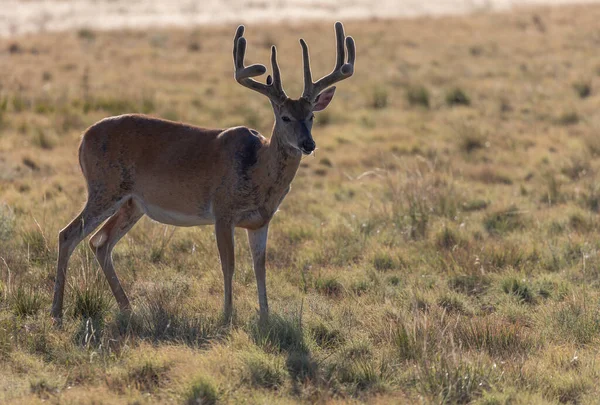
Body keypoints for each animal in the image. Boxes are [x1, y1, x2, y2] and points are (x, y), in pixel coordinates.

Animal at [50, 21, 356, 322]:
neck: (257, 170)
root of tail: (82, 139)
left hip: (132, 203)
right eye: (285, 117)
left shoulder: (261, 221)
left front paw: (265, 317)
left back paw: (127, 308)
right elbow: (228, 265)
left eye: (312, 116)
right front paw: (227, 316)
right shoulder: (222, 211)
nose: (308, 144)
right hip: (105, 187)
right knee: (69, 234)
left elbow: (260, 267)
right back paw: (57, 312)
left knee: (100, 242)